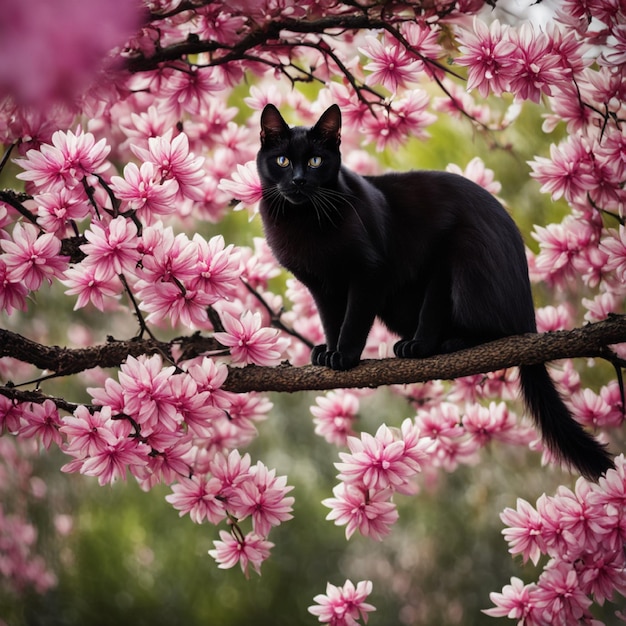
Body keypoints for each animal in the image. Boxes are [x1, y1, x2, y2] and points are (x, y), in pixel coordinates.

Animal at [256, 102, 612, 478]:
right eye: (282, 161)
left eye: (315, 161)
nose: (298, 180)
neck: (304, 221)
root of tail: (530, 319)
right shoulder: (321, 286)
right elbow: (331, 320)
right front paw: (327, 352)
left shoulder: (371, 273)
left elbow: (354, 320)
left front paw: (346, 355)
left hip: (464, 257)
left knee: (493, 328)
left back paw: (441, 344)